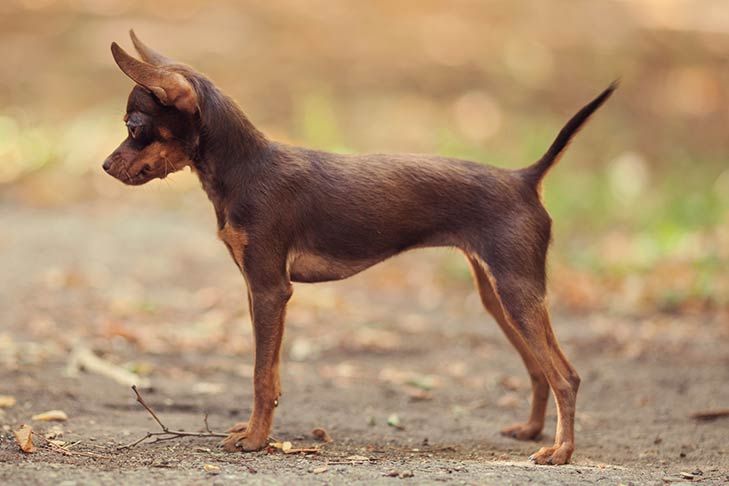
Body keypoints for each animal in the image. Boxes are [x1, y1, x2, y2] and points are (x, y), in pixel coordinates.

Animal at [102, 31, 616, 468]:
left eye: (134, 126)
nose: (105, 166)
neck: (246, 168)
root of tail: (525, 178)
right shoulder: (256, 290)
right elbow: (271, 373)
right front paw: (256, 431)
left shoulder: (270, 289)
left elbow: (260, 375)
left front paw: (256, 440)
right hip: (499, 296)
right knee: (539, 369)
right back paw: (533, 432)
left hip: (517, 292)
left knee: (565, 375)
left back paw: (561, 452)